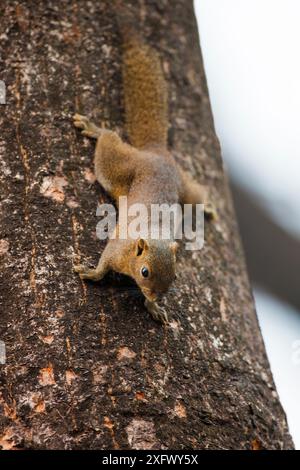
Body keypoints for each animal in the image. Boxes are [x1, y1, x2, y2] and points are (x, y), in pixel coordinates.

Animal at [72, 28, 213, 324]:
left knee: (198, 194)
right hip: (118, 168)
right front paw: (91, 273)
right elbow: (103, 265)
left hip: (184, 186)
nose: (156, 295)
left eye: (175, 276)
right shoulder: (117, 250)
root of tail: (157, 152)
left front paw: (153, 307)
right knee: (109, 142)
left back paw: (210, 207)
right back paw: (95, 129)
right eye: (145, 272)